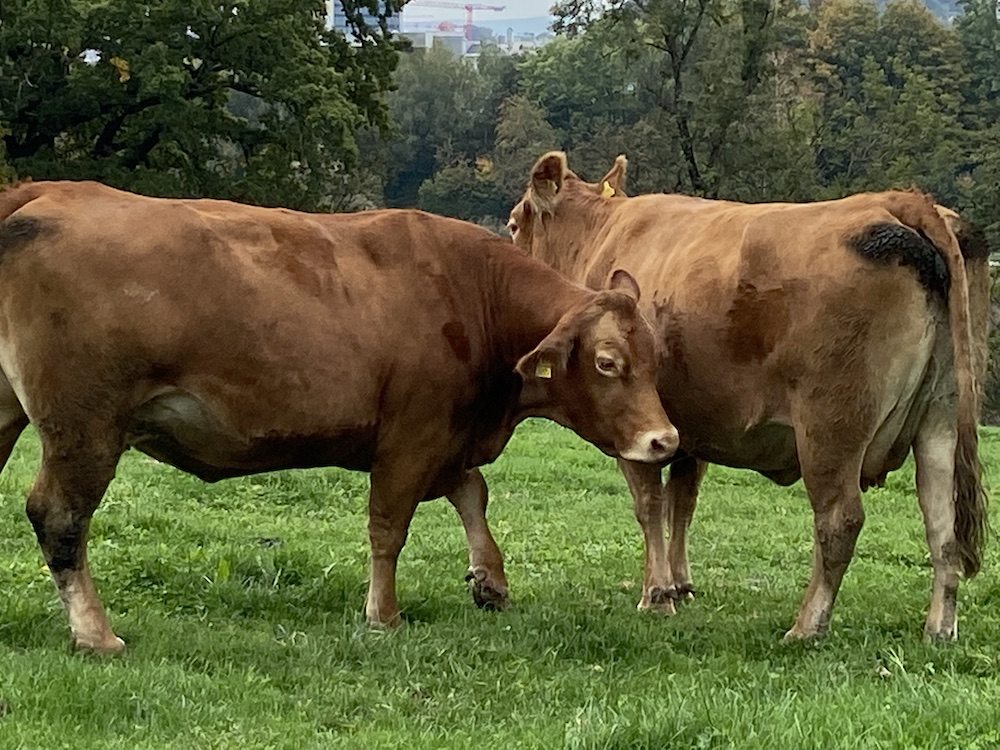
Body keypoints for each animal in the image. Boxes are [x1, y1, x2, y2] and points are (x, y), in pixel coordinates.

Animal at [0, 179, 680, 656]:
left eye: (656, 359)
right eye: (609, 363)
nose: (664, 439)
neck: (473, 291)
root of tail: (49, 191)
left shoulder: (445, 437)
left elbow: (472, 491)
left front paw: (489, 579)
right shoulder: (411, 436)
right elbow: (389, 527)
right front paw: (384, 615)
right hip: (85, 427)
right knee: (59, 517)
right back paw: (96, 634)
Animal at [508, 151, 992, 640]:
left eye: (512, 224)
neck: (601, 233)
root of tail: (896, 201)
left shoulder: (637, 431)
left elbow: (650, 505)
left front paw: (657, 596)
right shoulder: (688, 428)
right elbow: (682, 502)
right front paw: (680, 585)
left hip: (830, 424)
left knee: (840, 519)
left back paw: (806, 627)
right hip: (941, 415)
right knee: (942, 524)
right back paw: (938, 629)